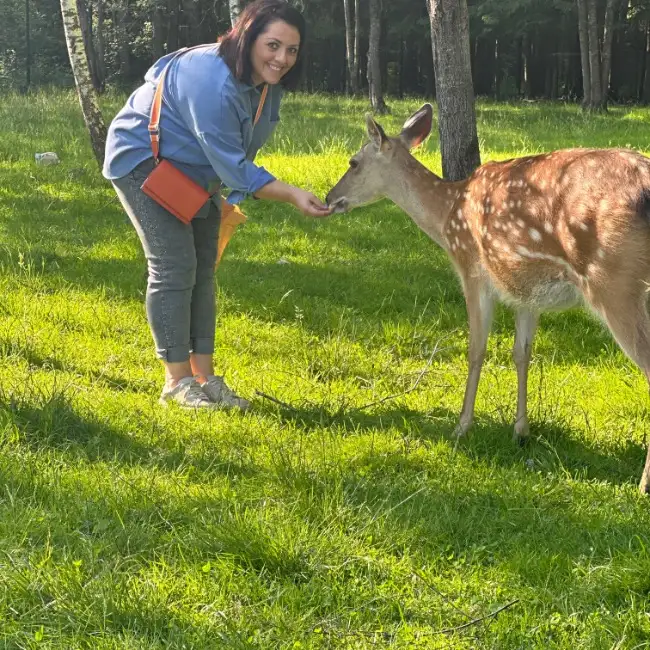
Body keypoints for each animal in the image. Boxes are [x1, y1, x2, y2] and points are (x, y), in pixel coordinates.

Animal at [326, 104, 648, 494]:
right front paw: (521, 431)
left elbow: (476, 349)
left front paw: (462, 425)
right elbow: (521, 353)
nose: (329, 198)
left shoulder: (472, 268)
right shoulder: (526, 290)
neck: (446, 216)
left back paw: (642, 484)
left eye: (353, 161)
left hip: (615, 280)